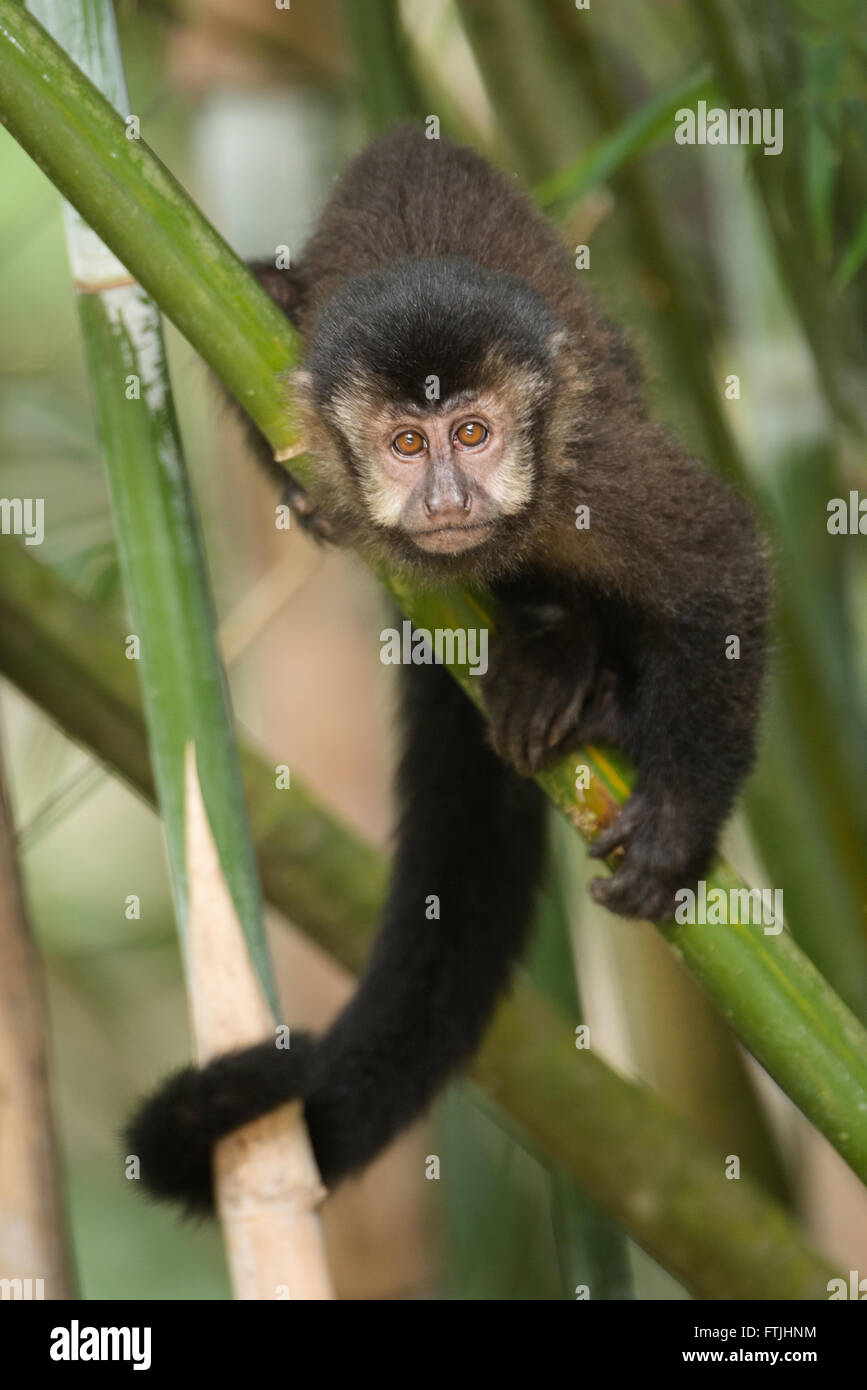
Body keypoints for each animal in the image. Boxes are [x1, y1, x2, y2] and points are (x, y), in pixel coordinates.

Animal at [125, 130, 766, 1217]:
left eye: (472, 434)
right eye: (404, 443)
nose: (446, 498)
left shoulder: (587, 471)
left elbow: (718, 566)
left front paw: (677, 826)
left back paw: (573, 659)